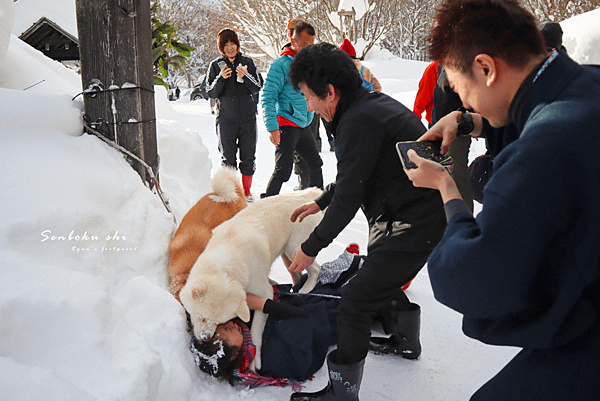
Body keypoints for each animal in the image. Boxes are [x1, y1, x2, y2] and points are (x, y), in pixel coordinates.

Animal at [180, 188, 326, 368]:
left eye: (219, 322)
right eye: (202, 317)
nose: (206, 338)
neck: (227, 263)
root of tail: (308, 194)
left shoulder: (265, 293)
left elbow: (256, 327)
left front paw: (254, 360)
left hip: (296, 248)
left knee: (316, 269)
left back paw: (306, 288)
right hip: (288, 253)